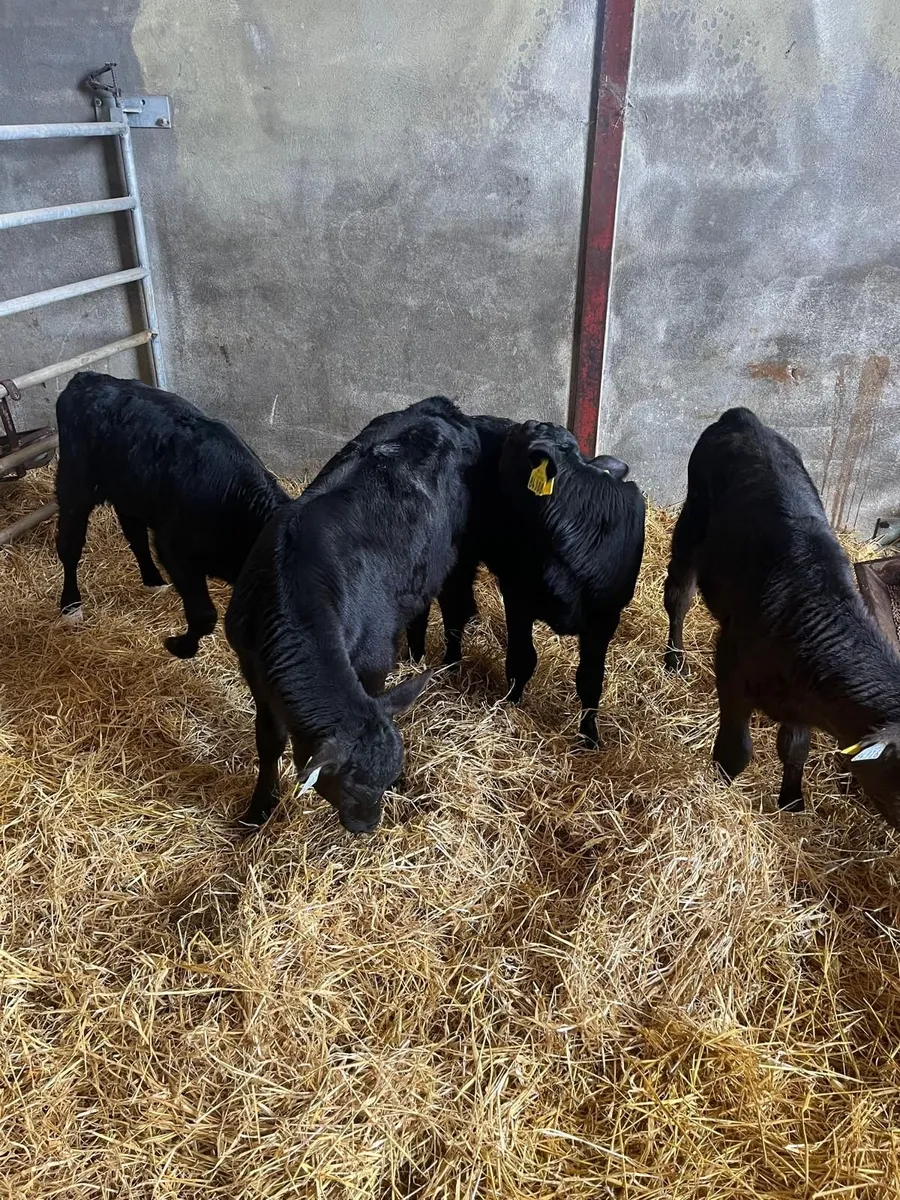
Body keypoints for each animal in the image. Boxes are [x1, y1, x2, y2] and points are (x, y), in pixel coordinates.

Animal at [54, 371, 289, 658]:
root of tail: (86, 377)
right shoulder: (175, 550)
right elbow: (204, 615)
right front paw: (180, 646)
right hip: (75, 485)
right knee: (69, 545)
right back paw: (71, 606)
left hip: (131, 489)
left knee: (134, 532)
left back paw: (153, 579)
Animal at [224, 395, 481, 834]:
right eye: (350, 783)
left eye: (390, 777)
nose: (368, 825)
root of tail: (437, 406)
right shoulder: (254, 669)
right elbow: (268, 741)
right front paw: (258, 810)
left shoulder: (373, 661)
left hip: (456, 554)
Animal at [663, 406, 900, 824]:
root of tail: (744, 418)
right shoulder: (731, 666)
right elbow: (737, 750)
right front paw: (719, 789)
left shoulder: (803, 699)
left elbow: (794, 747)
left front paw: (791, 799)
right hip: (690, 528)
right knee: (678, 597)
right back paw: (675, 659)